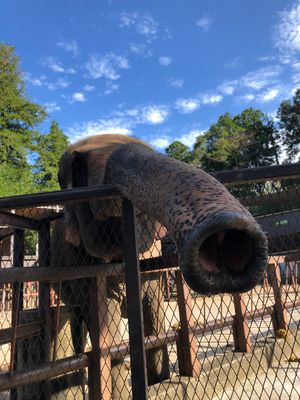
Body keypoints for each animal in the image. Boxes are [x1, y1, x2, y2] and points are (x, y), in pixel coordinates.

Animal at [49, 134, 268, 396]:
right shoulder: (80, 263)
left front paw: (158, 381)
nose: (225, 239)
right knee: (76, 321)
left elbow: (154, 317)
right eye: (78, 169)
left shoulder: (152, 265)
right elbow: (108, 327)